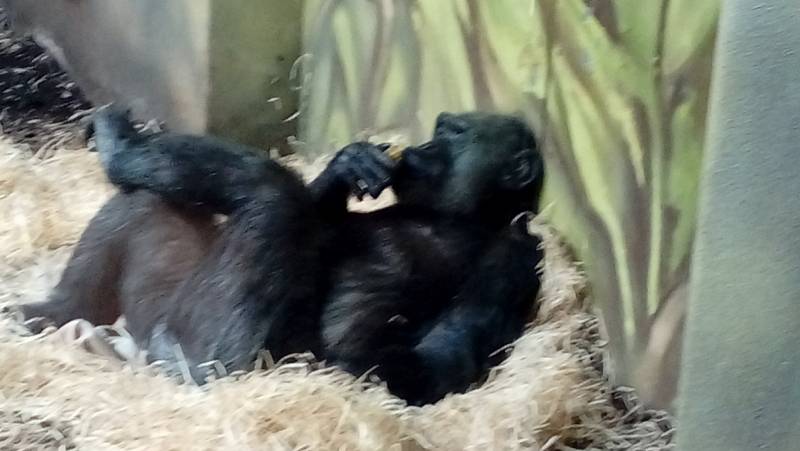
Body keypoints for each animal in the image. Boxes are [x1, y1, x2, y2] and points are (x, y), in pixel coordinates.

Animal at [21, 106, 545, 405]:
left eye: (455, 134)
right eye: (442, 129)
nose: (423, 147)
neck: (462, 216)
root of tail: (151, 351)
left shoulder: (512, 265)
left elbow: (435, 363)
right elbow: (323, 226)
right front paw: (348, 164)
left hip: (207, 356)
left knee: (273, 194)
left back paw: (122, 150)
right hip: (162, 314)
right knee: (146, 203)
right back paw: (55, 311)